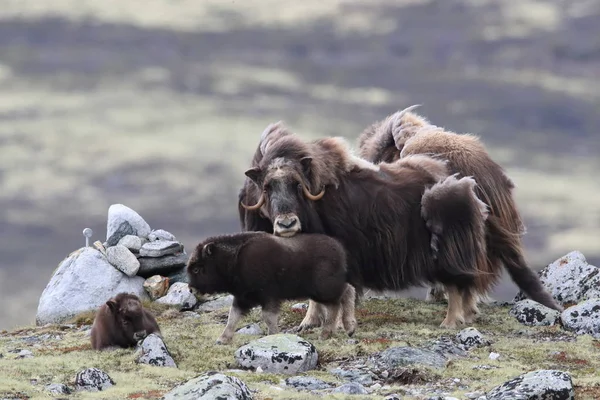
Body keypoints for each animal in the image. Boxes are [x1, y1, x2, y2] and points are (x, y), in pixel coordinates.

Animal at [186, 231, 356, 344]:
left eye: (197, 269)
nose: (191, 289)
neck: (233, 260)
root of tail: (339, 250)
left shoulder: (268, 297)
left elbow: (267, 317)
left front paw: (273, 335)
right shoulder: (242, 298)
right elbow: (232, 317)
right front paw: (222, 339)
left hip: (322, 290)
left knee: (337, 303)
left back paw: (326, 334)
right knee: (347, 292)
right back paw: (349, 329)